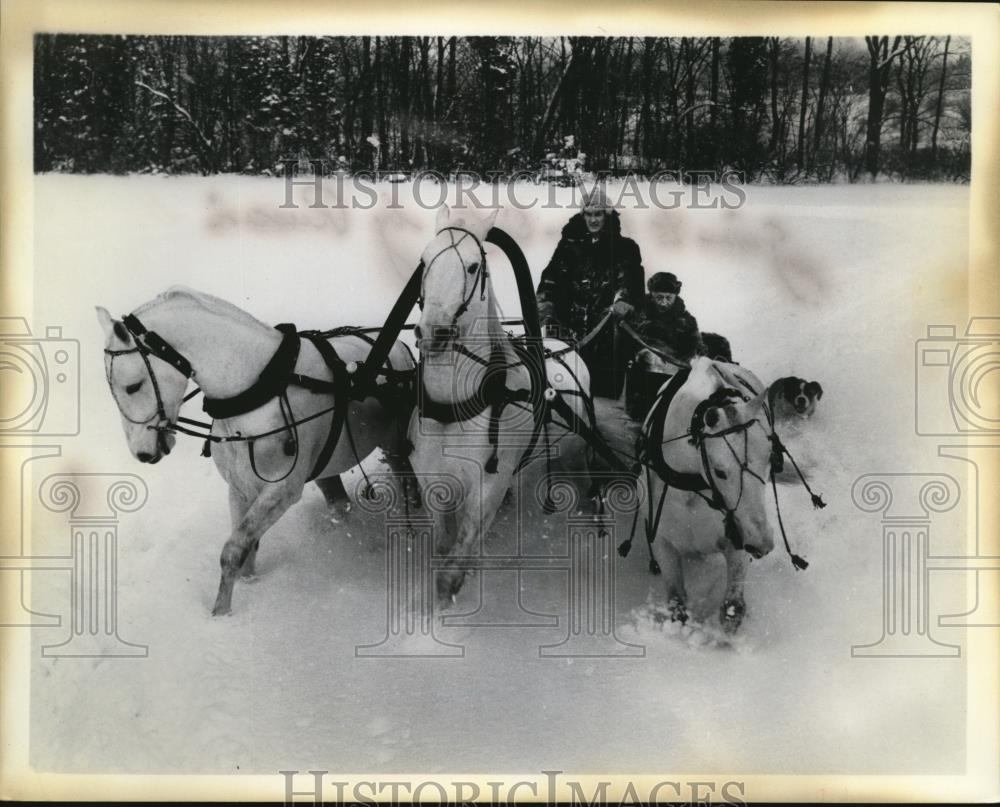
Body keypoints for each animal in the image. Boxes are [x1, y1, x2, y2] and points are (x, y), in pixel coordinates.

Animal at [95, 288, 416, 616]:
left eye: (133, 386)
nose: (142, 453)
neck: (258, 390)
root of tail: (399, 346)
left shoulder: (282, 491)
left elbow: (234, 548)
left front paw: (221, 613)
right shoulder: (240, 487)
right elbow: (246, 544)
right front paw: (247, 583)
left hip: (395, 447)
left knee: (407, 485)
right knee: (339, 502)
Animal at [410, 207, 596, 608]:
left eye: (472, 266)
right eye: (424, 261)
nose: (433, 333)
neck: (455, 406)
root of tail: (562, 344)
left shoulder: (486, 488)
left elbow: (452, 568)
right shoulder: (433, 482)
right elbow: (442, 548)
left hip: (578, 447)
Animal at [640, 356, 780, 636]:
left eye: (769, 458)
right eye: (719, 471)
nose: (761, 543)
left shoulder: (736, 539)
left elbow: (733, 609)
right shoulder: (662, 542)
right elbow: (676, 602)